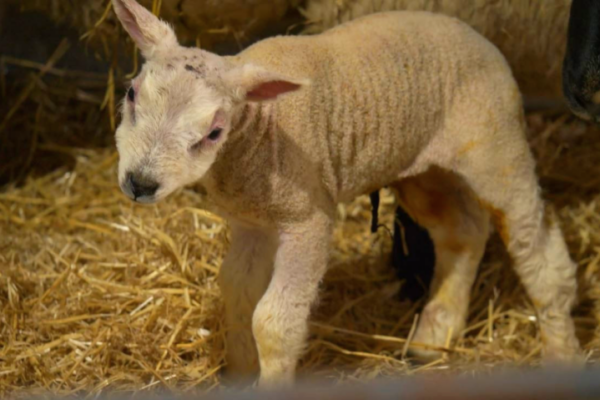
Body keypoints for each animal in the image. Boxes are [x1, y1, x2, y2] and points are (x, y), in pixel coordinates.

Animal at [111, 0, 580, 388]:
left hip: (496, 147)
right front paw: (239, 375)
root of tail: (480, 36)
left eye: (213, 132)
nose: (140, 183)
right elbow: (239, 295)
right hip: (420, 169)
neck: (260, 129)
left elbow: (273, 322)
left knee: (537, 250)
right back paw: (433, 337)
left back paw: (560, 353)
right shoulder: (252, 222)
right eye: (131, 94)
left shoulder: (308, 220)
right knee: (461, 231)